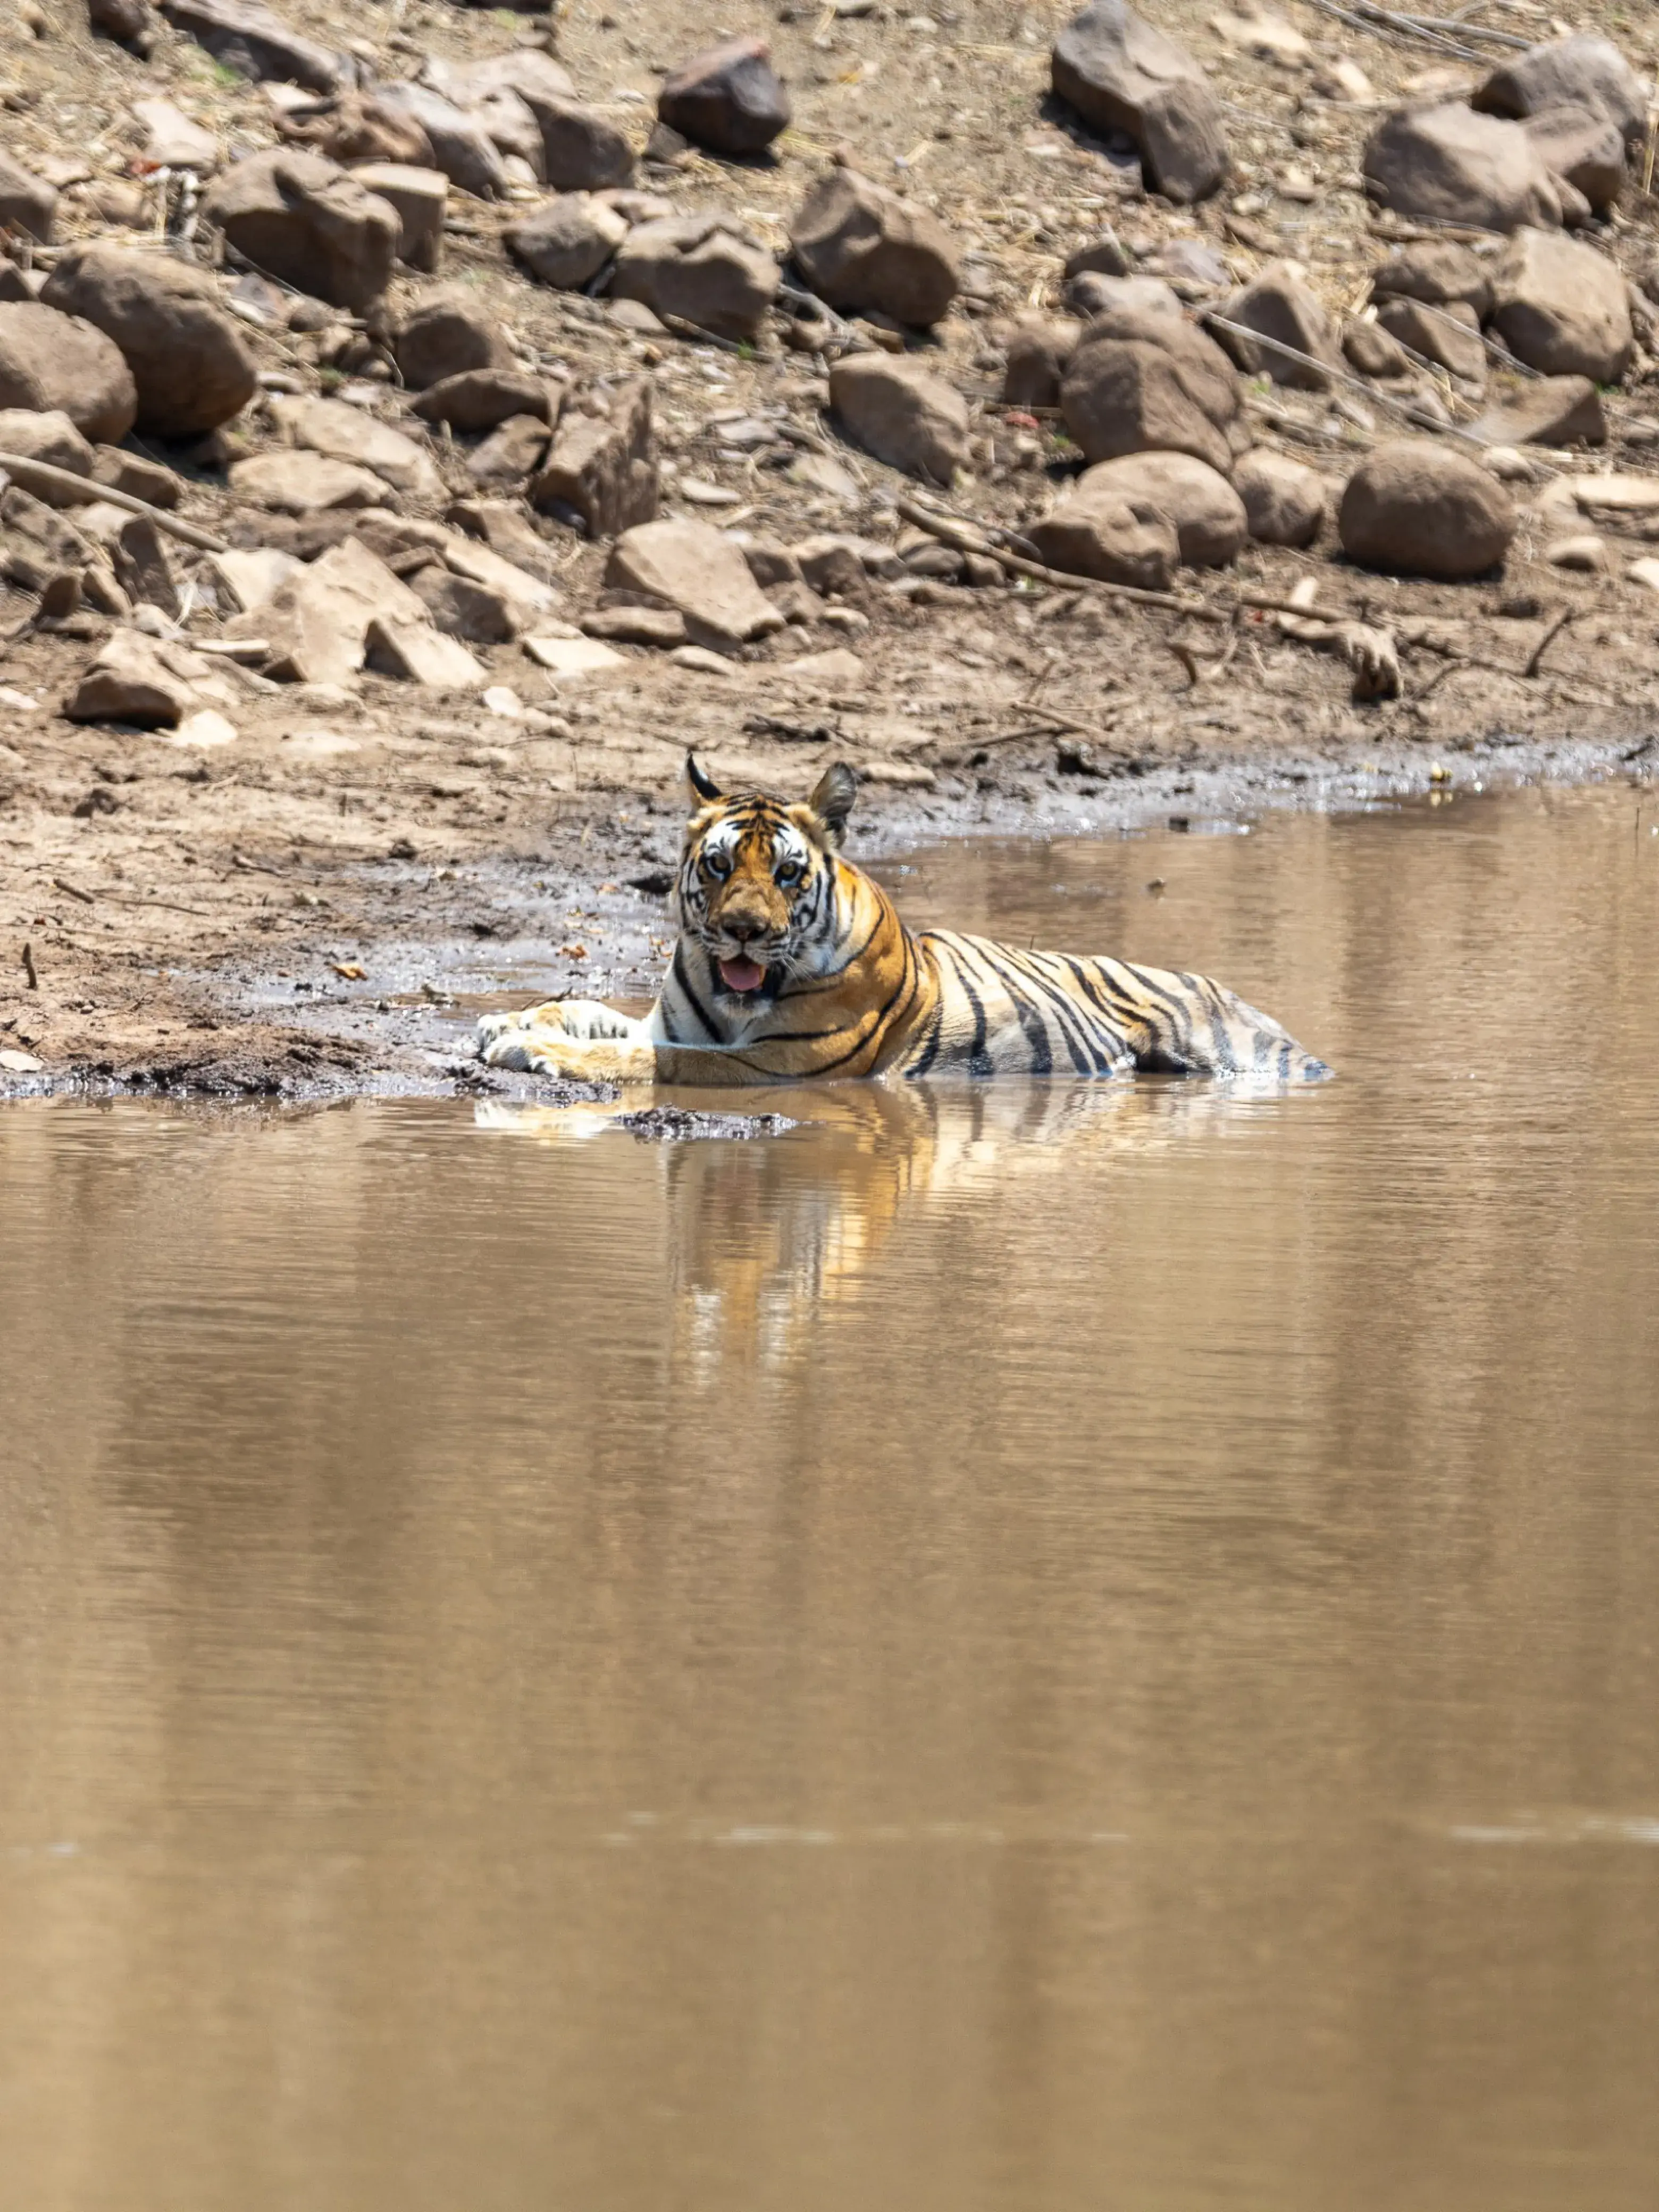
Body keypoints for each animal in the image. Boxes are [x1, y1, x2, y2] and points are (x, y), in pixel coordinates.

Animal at [476, 755, 1330, 1088]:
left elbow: (642, 1060)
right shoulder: (674, 1020)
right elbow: (595, 1010)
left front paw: (534, 1047)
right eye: (719, 867)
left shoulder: (776, 1065)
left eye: (787, 873)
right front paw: (511, 1021)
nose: (745, 931)